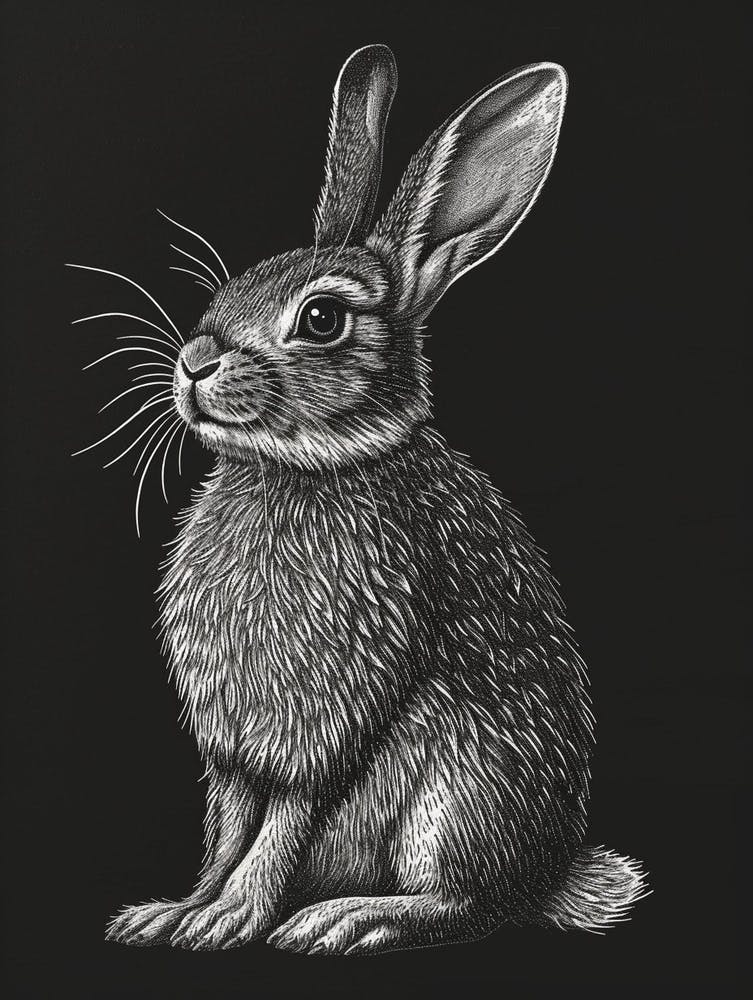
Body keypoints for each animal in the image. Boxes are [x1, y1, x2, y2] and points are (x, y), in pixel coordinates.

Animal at [105, 44, 648, 955]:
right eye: (241, 280)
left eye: (321, 318)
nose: (195, 362)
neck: (300, 469)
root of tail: (550, 876)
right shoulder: (232, 751)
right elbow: (228, 827)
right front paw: (176, 911)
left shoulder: (324, 728)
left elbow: (280, 826)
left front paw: (231, 919)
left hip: (456, 794)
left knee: (468, 905)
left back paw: (348, 918)